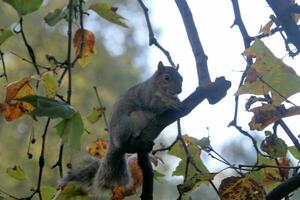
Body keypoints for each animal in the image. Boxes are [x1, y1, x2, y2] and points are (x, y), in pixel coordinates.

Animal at [60, 61, 183, 195]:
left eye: (182, 78)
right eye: (167, 78)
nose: (179, 90)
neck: (158, 87)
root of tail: (113, 140)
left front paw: (176, 99)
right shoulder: (146, 94)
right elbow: (154, 105)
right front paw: (170, 102)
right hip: (129, 122)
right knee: (124, 142)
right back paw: (134, 137)